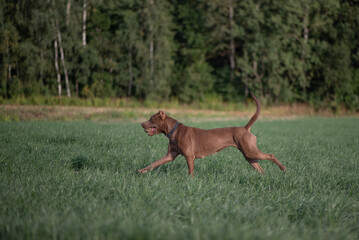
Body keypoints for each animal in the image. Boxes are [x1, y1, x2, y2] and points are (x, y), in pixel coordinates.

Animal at [139, 94, 286, 176]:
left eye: (151, 119)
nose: (141, 123)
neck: (174, 131)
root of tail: (245, 128)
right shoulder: (170, 155)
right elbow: (154, 163)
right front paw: (141, 171)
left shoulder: (189, 156)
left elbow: (190, 172)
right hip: (249, 156)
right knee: (260, 168)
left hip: (250, 151)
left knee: (271, 155)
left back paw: (283, 168)